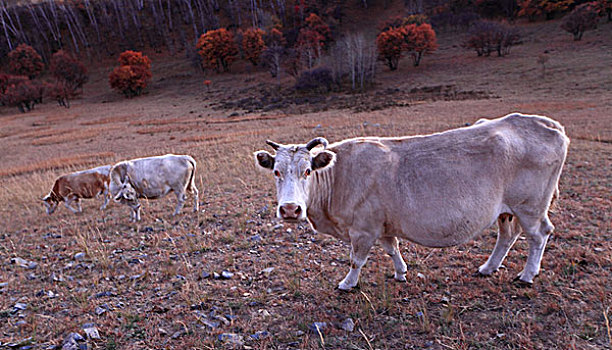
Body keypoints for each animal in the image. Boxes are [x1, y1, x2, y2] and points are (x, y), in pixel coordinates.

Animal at [253, 113, 568, 290]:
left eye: (307, 171)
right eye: (276, 171)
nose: (290, 209)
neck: (339, 175)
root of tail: (544, 122)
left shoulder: (363, 229)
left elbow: (356, 260)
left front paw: (347, 284)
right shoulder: (381, 224)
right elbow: (392, 248)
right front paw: (401, 272)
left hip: (530, 206)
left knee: (539, 234)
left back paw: (527, 275)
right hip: (507, 210)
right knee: (507, 235)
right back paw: (488, 268)